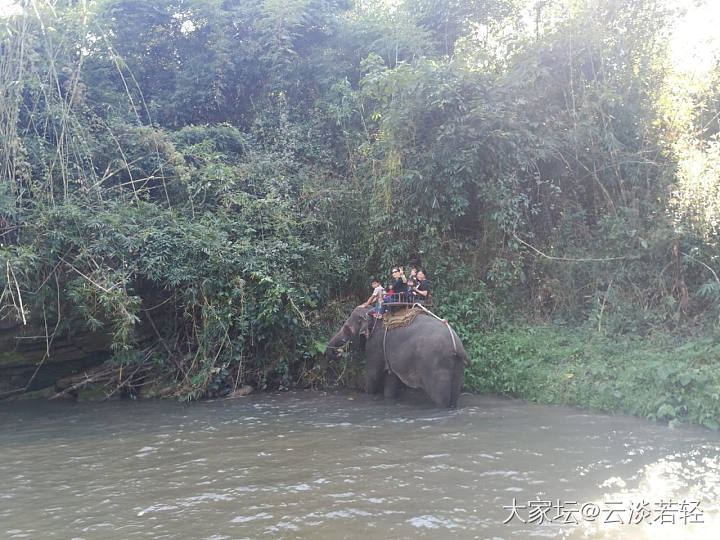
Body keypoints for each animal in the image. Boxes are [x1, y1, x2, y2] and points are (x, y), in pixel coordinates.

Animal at [324, 306, 470, 408]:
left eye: (347, 329)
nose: (334, 353)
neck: (372, 311)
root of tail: (457, 347)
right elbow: (391, 377)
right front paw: (389, 398)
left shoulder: (375, 344)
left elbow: (372, 374)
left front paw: (369, 395)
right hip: (457, 365)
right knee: (454, 393)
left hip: (436, 365)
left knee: (440, 397)